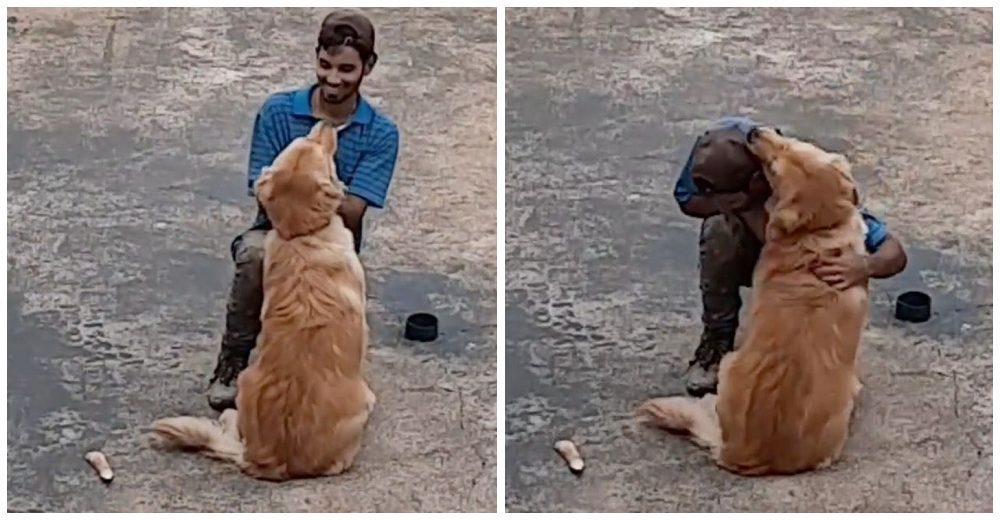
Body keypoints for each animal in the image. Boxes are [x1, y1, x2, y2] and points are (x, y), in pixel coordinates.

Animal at [152, 120, 376, 482]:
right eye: (317, 148)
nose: (326, 122)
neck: (301, 235)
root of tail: (268, 459)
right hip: (361, 407)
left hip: (247, 380)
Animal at [640, 126, 868, 476]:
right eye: (790, 148)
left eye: (776, 165)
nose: (754, 131)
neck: (818, 229)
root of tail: (743, 455)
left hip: (730, 364)